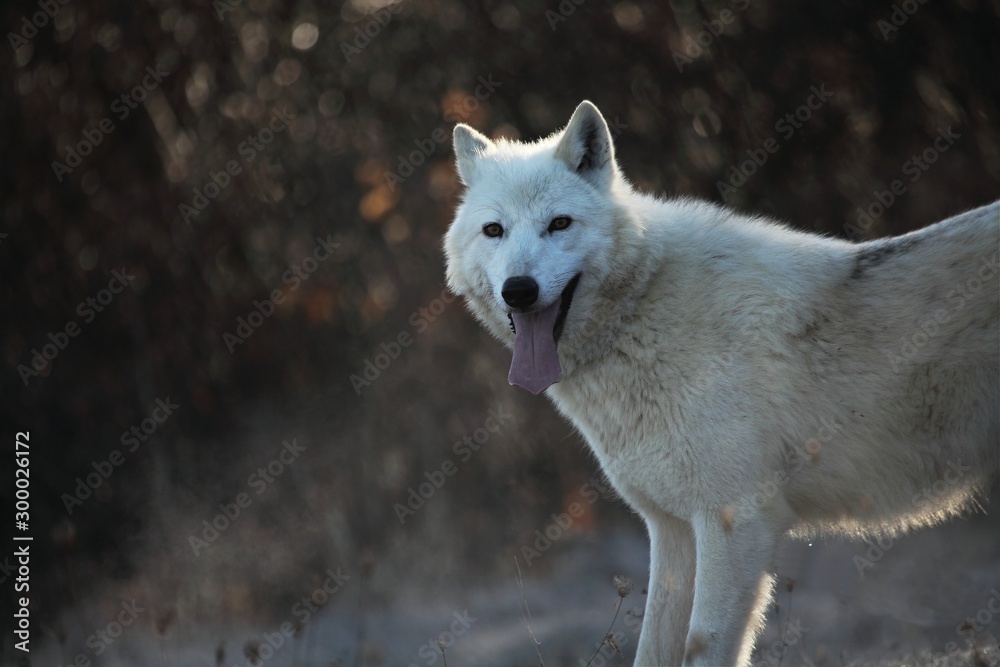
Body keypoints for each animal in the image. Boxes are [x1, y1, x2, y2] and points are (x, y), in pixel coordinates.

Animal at [443, 100, 999, 666]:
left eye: (559, 224)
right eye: (494, 231)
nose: (519, 290)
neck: (644, 314)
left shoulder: (737, 522)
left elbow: (705, 647)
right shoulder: (672, 530)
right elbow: (653, 648)